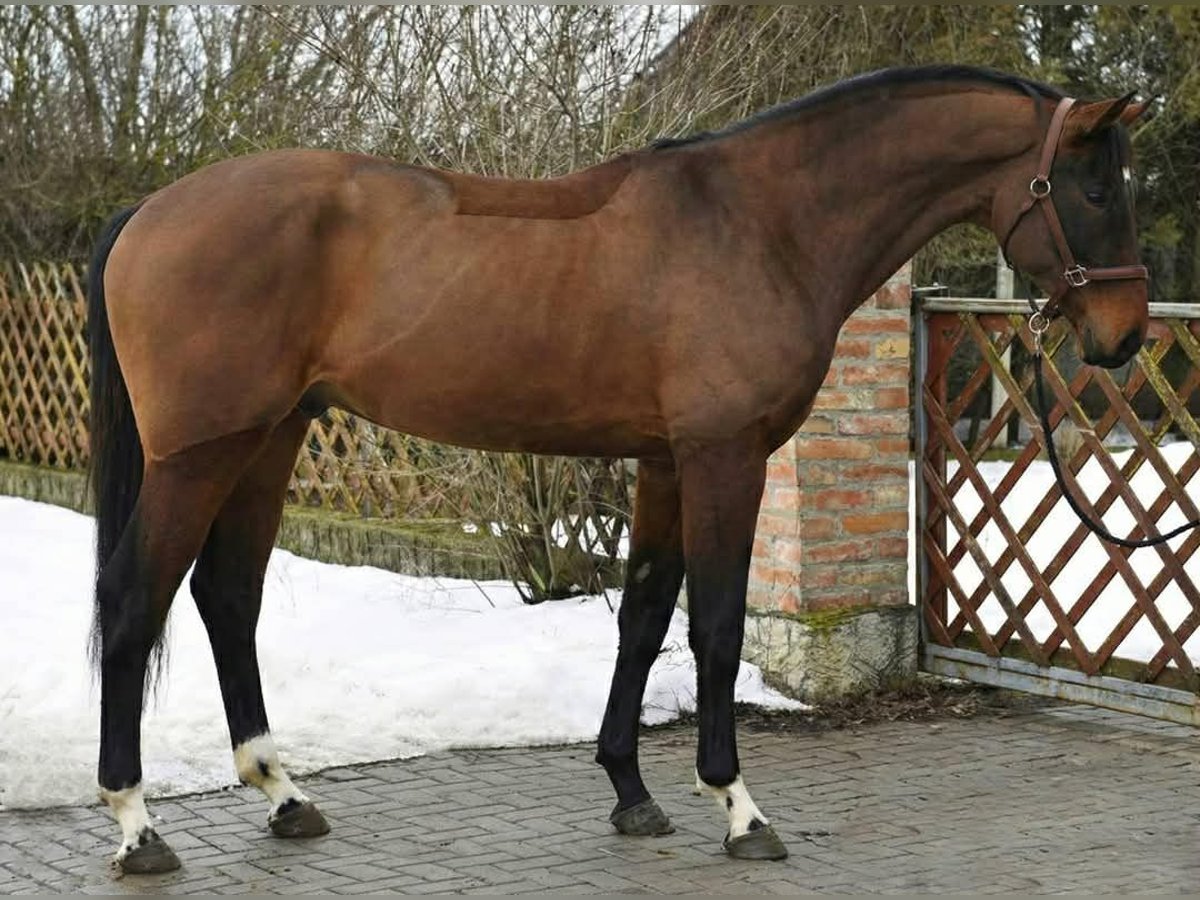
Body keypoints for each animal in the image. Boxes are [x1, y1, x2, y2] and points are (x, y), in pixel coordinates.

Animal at [85, 65, 1148, 873]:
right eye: (1094, 190)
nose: (1127, 336)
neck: (763, 223)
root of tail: (146, 212)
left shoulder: (664, 463)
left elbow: (642, 615)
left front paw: (632, 792)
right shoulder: (725, 459)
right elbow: (715, 626)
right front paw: (739, 807)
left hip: (270, 438)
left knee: (227, 596)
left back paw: (282, 794)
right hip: (201, 453)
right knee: (137, 602)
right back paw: (138, 826)